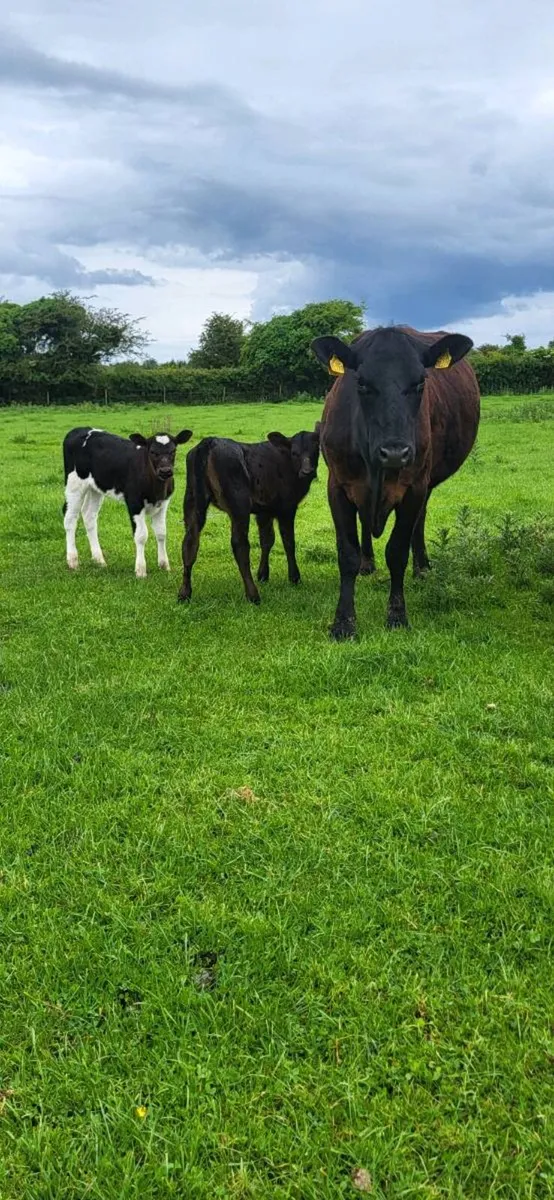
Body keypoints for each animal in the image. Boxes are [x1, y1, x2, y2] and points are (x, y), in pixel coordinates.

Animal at [62, 426, 192, 577]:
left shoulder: (163, 503)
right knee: (70, 519)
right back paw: (73, 561)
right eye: (153, 452)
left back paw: (99, 560)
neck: (155, 487)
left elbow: (161, 533)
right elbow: (141, 535)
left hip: (95, 487)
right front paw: (141, 570)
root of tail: (78, 429)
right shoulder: (134, 502)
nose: (165, 471)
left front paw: (164, 565)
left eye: (173, 451)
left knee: (89, 516)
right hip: (74, 484)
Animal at [177, 427, 320, 605]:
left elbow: (267, 540)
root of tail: (209, 441)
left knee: (189, 542)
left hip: (193, 501)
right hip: (239, 505)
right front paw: (294, 578)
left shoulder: (265, 510)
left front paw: (263, 574)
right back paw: (253, 595)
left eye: (316, 449)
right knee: (240, 545)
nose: (308, 471)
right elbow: (288, 542)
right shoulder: (287, 508)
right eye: (294, 452)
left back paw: (184, 593)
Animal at [311, 326, 480, 638]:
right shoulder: (337, 485)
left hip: (426, 481)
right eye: (362, 383)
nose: (395, 452)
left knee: (420, 520)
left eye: (420, 383)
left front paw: (398, 616)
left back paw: (422, 568)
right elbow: (347, 554)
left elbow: (397, 552)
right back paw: (368, 563)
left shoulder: (414, 487)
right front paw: (343, 623)